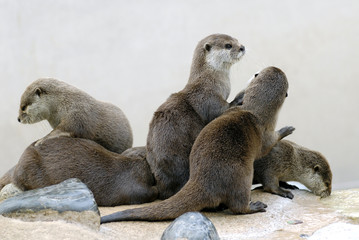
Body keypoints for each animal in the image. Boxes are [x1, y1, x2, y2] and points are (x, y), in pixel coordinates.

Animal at [100, 66, 296, 223]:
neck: (253, 111)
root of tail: (202, 182)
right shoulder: (266, 133)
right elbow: (268, 144)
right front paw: (286, 129)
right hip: (242, 175)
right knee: (237, 205)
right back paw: (254, 206)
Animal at [146, 33, 245, 199]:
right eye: (228, 45)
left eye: (237, 40)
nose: (242, 47)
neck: (211, 80)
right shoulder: (207, 97)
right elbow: (220, 111)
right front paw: (239, 97)